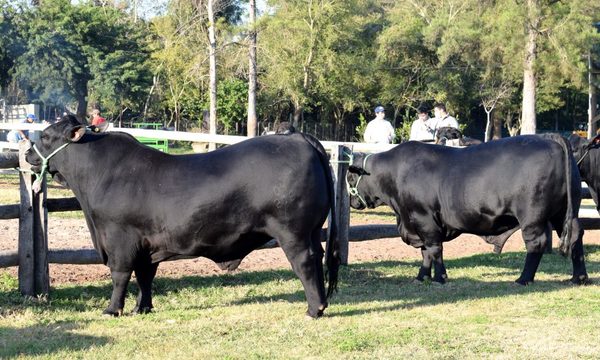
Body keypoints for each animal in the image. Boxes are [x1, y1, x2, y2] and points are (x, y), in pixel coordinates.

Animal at [25, 116, 340, 318]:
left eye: (46, 136)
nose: (28, 153)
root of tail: (298, 137)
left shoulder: (119, 239)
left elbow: (120, 275)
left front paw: (113, 309)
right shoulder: (146, 244)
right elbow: (145, 276)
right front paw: (143, 308)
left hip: (292, 232)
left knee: (305, 263)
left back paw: (314, 309)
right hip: (312, 230)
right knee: (319, 257)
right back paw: (322, 303)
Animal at [346, 134, 584, 286]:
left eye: (350, 177)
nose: (352, 201)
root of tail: (549, 138)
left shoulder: (424, 219)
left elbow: (434, 249)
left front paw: (439, 278)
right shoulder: (417, 223)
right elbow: (425, 253)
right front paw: (422, 277)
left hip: (532, 217)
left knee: (536, 243)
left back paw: (523, 279)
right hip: (564, 212)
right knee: (575, 236)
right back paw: (579, 278)